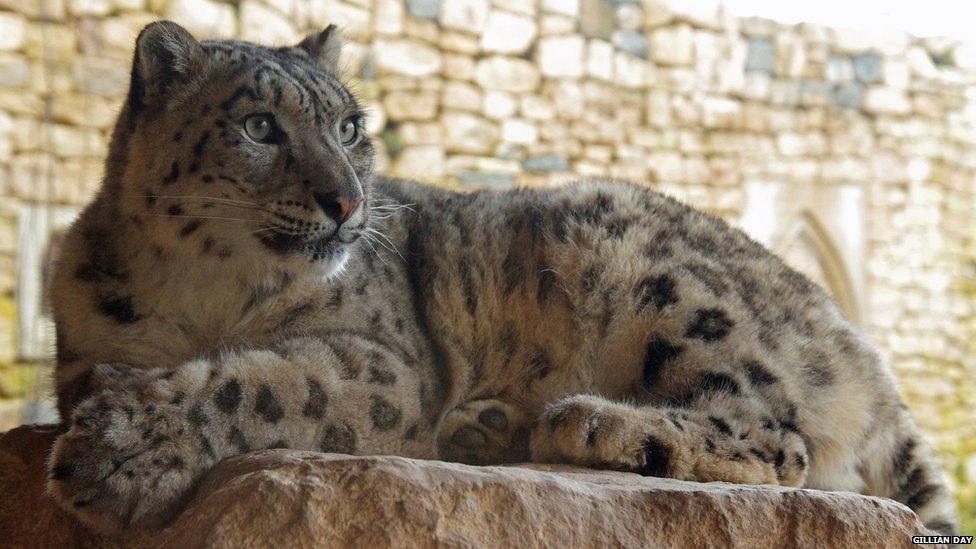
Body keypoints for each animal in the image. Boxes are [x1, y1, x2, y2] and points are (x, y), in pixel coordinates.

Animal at [42, 21, 956, 536]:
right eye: (260, 126)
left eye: (350, 125)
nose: (347, 199)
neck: (202, 296)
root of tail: (856, 342)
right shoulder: (83, 350)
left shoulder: (385, 362)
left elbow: (263, 382)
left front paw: (117, 454)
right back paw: (490, 425)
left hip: (655, 273)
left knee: (778, 435)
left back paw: (586, 421)